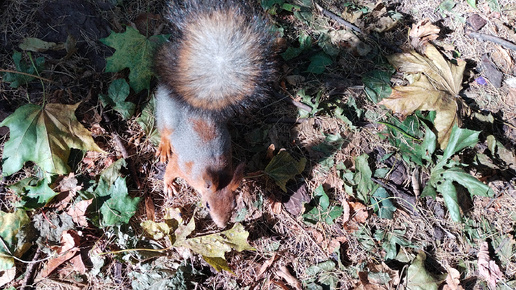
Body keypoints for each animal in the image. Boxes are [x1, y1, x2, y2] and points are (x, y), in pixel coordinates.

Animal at [154, 0, 278, 227]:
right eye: (207, 205)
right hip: (165, 115)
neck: (212, 171)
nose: (222, 225)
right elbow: (170, 171)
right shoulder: (181, 165)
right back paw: (164, 147)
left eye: (234, 204)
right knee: (165, 132)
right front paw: (168, 185)